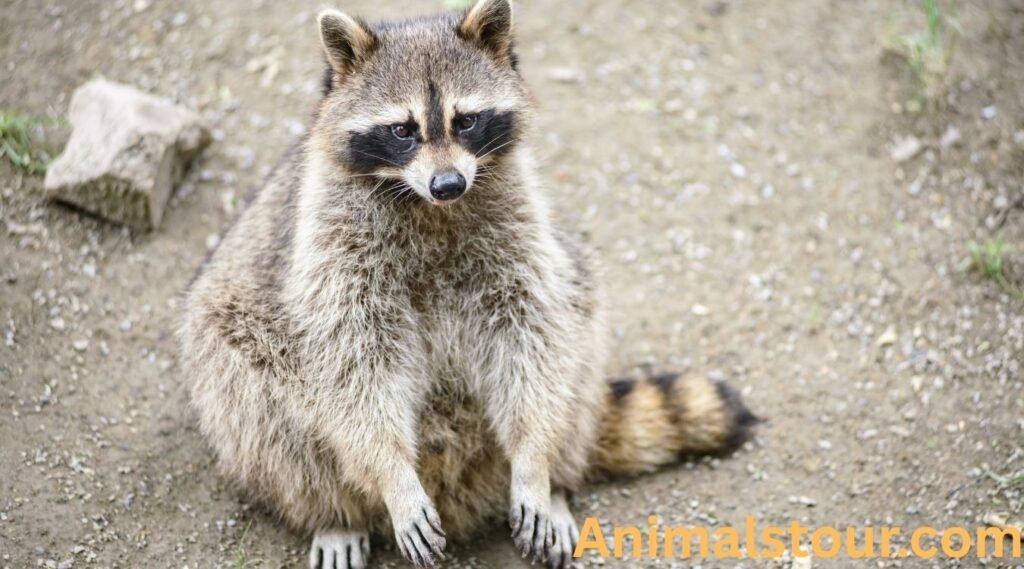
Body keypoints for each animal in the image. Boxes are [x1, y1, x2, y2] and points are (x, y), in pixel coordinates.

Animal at [177, 1, 757, 568]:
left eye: (467, 121)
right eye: (402, 130)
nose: (449, 183)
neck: (426, 203)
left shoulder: (518, 230)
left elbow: (533, 337)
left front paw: (535, 461)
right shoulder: (333, 252)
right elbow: (353, 365)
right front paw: (392, 473)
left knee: (576, 340)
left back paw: (557, 482)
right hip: (230, 332)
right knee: (256, 402)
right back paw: (334, 514)